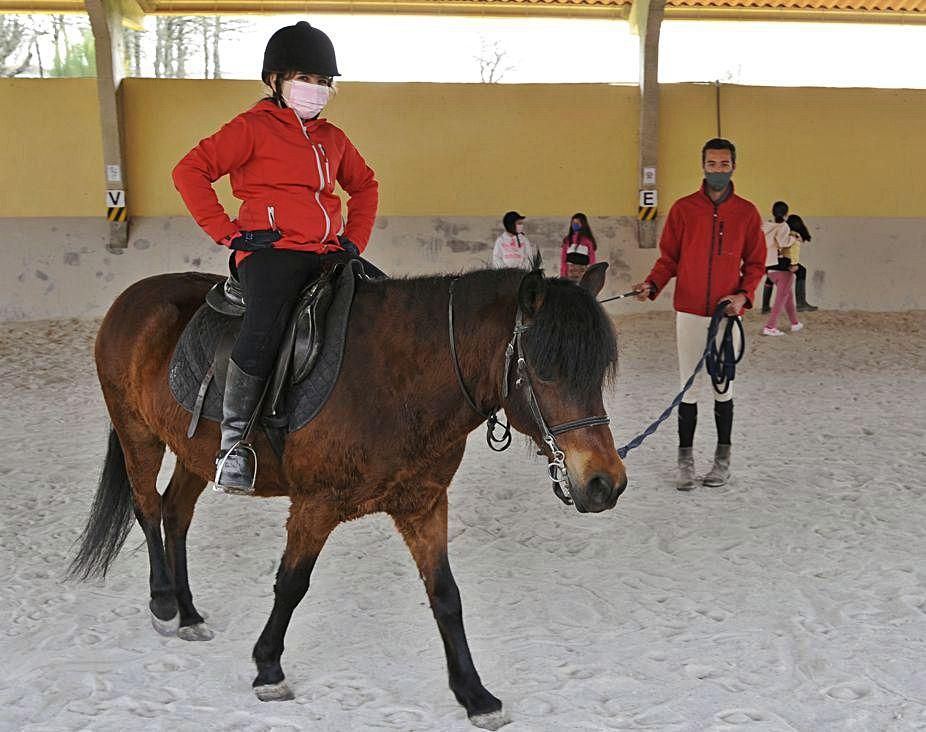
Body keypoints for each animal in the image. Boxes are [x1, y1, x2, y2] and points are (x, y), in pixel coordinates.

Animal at [69, 264, 628, 732]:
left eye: (597, 371)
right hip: (137, 432)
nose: (606, 483)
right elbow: (292, 584)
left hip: (194, 453)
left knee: (175, 513)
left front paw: (474, 695)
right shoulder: (315, 505)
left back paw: (188, 613)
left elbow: (446, 596)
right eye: (545, 368)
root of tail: (136, 295)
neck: (396, 380)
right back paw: (165, 604)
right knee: (147, 507)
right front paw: (268, 668)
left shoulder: (424, 504)